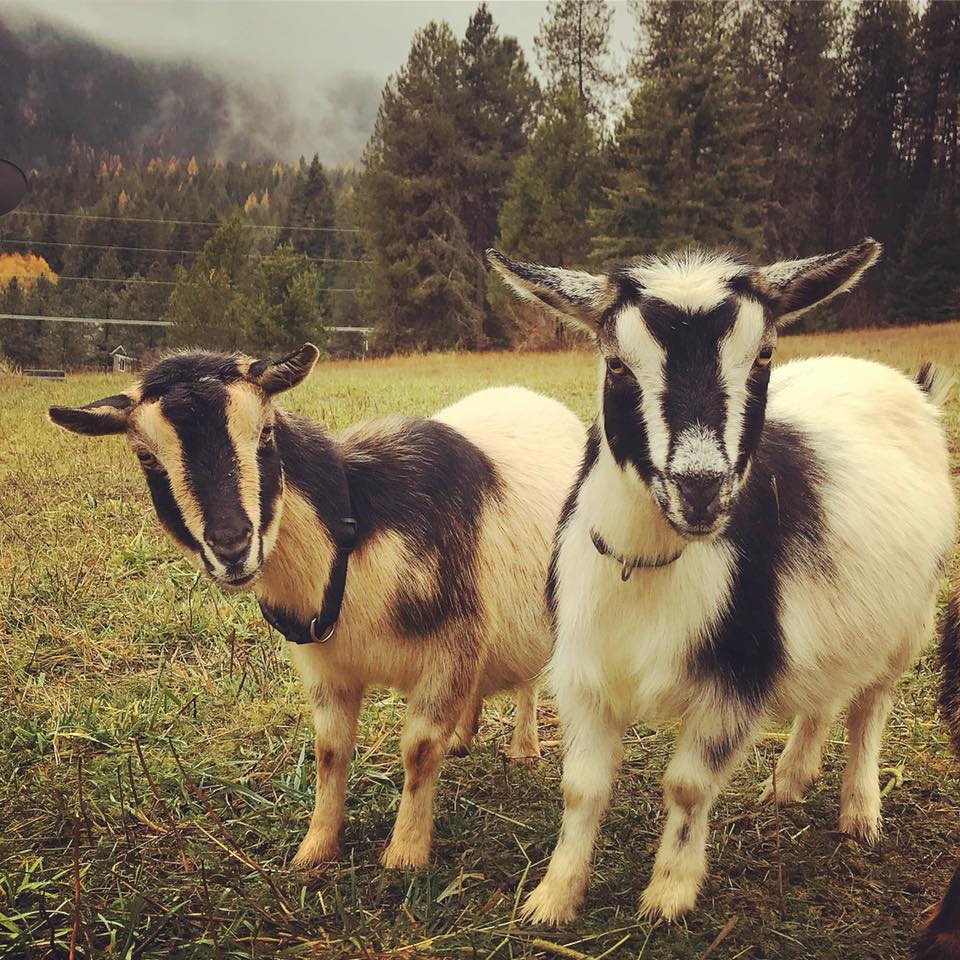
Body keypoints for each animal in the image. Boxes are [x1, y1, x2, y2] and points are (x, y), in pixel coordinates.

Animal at [49, 347, 585, 869]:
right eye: (145, 455)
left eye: (265, 432)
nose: (232, 547)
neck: (355, 528)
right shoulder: (325, 665)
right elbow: (330, 751)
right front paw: (315, 849)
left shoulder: (451, 645)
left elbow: (418, 750)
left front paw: (405, 856)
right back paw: (463, 737)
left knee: (527, 681)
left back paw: (523, 747)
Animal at [488, 240, 957, 922]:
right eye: (616, 362)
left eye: (763, 355)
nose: (701, 488)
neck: (648, 568)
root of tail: (904, 384)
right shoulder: (586, 672)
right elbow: (582, 789)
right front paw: (552, 898)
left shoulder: (735, 675)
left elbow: (687, 786)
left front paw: (668, 894)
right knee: (825, 692)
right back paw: (788, 782)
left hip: (910, 616)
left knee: (870, 703)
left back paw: (860, 812)